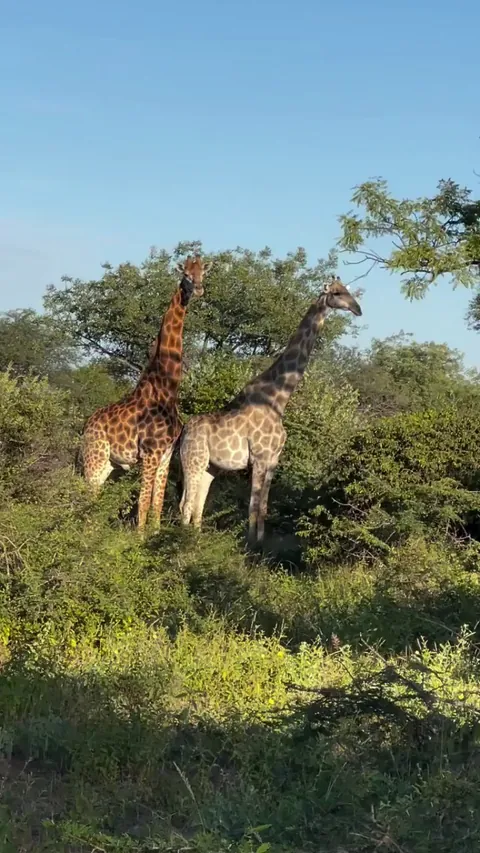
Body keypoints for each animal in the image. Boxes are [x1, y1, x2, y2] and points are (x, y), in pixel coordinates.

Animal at [81, 255, 211, 532]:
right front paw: (140, 538)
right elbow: (142, 504)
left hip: (109, 464)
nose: (197, 289)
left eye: (203, 273)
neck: (167, 391)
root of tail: (86, 426)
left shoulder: (166, 455)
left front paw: (155, 535)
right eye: (186, 274)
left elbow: (156, 504)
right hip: (94, 458)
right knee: (87, 498)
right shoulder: (150, 453)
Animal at [178, 276, 362, 546]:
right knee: (186, 504)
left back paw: (196, 540)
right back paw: (180, 541)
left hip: (210, 466)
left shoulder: (274, 459)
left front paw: (261, 546)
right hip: (194, 459)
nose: (358, 309)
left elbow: (264, 507)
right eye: (338, 293)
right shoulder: (259, 457)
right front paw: (249, 546)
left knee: (197, 503)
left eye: (348, 290)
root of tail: (182, 433)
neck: (279, 399)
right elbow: (252, 506)